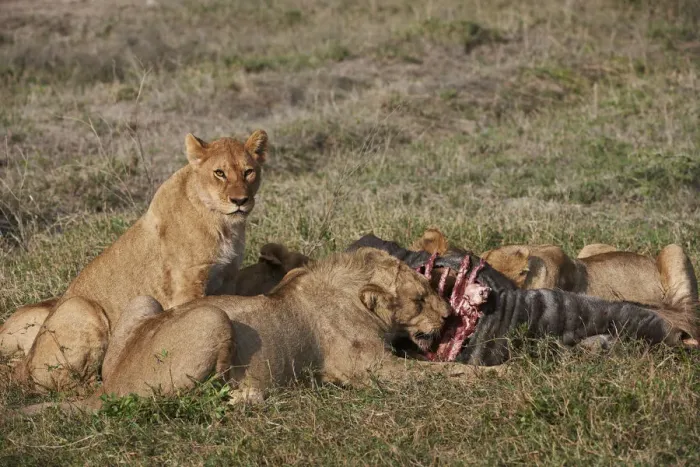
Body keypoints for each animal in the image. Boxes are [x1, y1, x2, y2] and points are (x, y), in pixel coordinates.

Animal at [12, 130, 268, 392]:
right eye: (219, 173)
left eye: (248, 171)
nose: (240, 200)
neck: (222, 223)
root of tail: (24, 364)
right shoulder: (187, 285)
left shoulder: (228, 277)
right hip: (81, 306)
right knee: (69, 381)